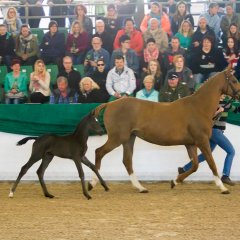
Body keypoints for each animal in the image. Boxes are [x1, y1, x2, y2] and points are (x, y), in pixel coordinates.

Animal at [89, 67, 240, 193]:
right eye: (234, 80)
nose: (239, 95)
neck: (199, 107)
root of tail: (110, 104)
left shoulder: (191, 143)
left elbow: (195, 165)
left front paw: (175, 181)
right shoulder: (202, 141)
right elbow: (211, 163)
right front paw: (223, 187)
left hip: (129, 139)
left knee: (127, 161)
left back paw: (140, 188)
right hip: (117, 138)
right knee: (99, 152)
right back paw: (92, 183)